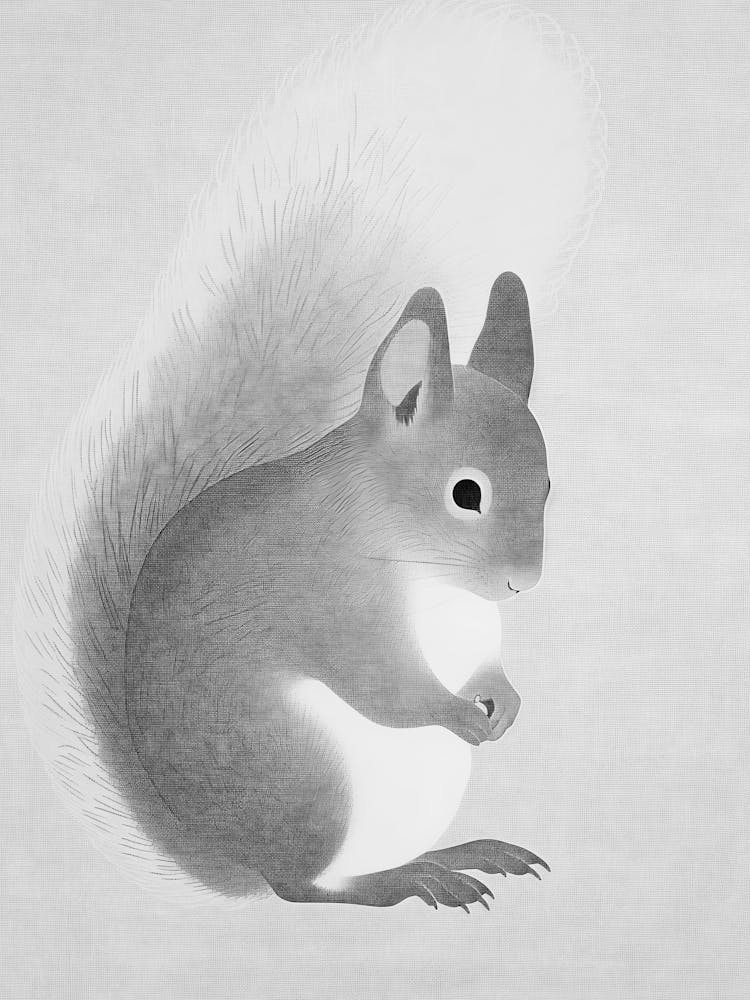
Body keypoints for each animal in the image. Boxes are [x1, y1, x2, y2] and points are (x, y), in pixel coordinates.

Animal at [14, 2, 605, 910]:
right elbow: (384, 686)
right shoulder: (330, 600)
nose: (523, 585)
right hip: (313, 779)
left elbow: (485, 665)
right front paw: (459, 711)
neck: (415, 560)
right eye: (466, 494)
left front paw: (504, 699)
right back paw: (410, 879)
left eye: (548, 482)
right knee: (310, 889)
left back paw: (466, 851)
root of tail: (225, 856)